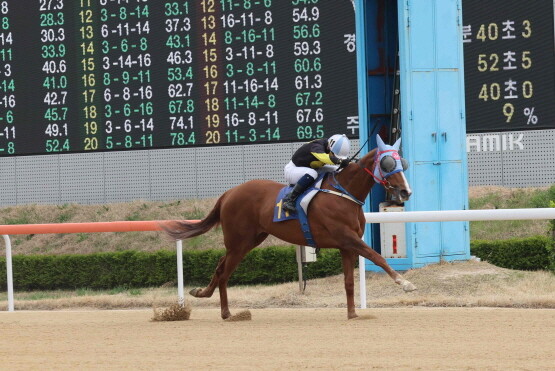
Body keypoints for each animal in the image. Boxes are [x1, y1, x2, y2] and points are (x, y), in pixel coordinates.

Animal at [163, 138, 414, 322]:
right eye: (387, 164)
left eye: (402, 163)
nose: (405, 192)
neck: (344, 192)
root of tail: (228, 193)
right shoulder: (347, 238)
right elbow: (377, 257)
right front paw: (405, 283)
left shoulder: (346, 245)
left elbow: (349, 282)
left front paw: (352, 314)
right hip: (238, 242)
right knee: (224, 272)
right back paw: (226, 313)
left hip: (248, 241)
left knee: (220, 267)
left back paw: (203, 294)